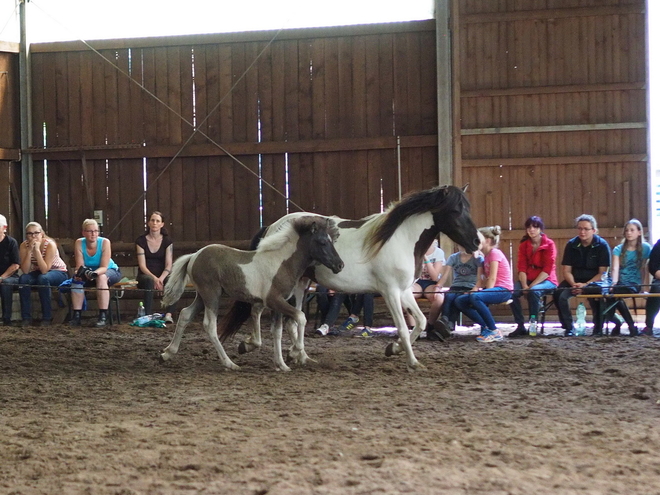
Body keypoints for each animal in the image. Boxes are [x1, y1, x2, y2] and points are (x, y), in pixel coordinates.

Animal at [160, 215, 342, 370]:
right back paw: (230, 363)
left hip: (201, 296)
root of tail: (194, 256)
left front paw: (282, 364)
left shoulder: (277, 304)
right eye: (323, 242)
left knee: (185, 314)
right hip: (211, 295)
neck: (282, 263)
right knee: (209, 326)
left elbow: (277, 331)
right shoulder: (274, 300)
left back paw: (167, 353)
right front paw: (295, 351)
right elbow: (301, 317)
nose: (340, 265)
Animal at [232, 186, 480, 372]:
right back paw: (252, 346)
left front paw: (393, 348)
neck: (400, 239)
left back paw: (299, 356)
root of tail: (271, 227)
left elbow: (419, 321)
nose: (476, 242)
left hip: (301, 283)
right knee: (267, 311)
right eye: (456, 210)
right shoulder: (390, 291)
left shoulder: (405, 290)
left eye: (468, 208)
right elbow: (401, 326)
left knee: (294, 320)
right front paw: (413, 362)